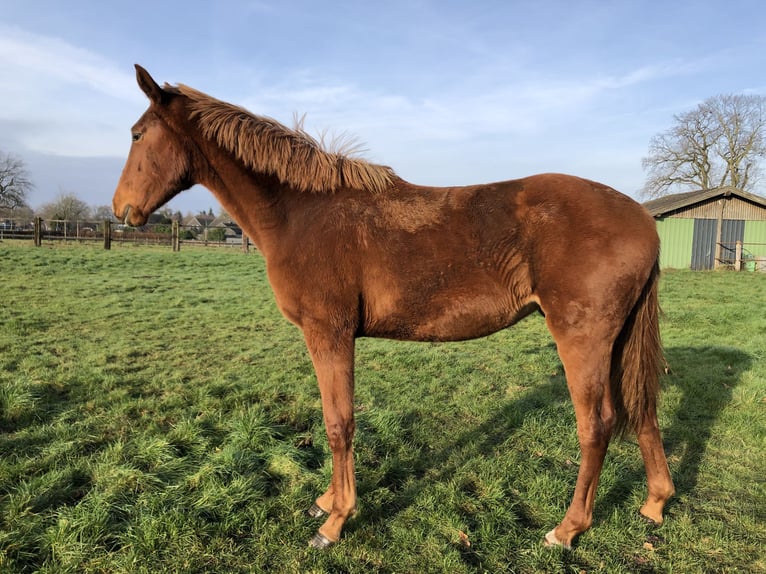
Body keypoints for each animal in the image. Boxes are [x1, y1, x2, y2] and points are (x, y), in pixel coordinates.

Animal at [113, 65, 674, 550]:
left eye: (138, 135)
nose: (122, 209)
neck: (300, 213)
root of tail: (643, 221)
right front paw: (327, 501)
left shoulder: (329, 332)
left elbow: (338, 424)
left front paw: (335, 520)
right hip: (617, 339)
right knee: (640, 409)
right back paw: (655, 503)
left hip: (582, 337)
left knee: (597, 424)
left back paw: (568, 528)